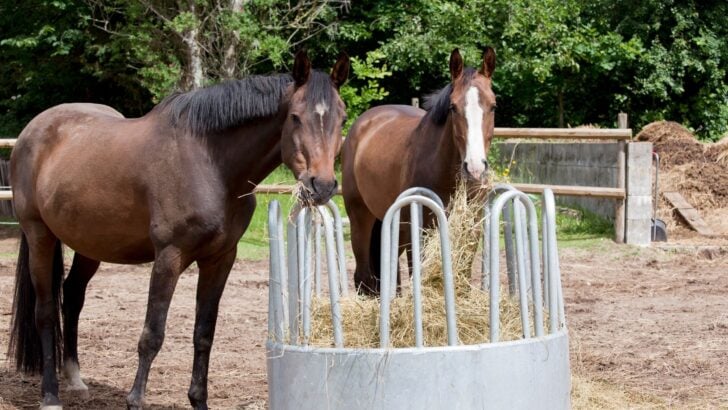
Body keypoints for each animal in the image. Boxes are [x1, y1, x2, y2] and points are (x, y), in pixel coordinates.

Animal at [8, 49, 349, 409]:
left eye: (342, 118)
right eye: (295, 117)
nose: (322, 185)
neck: (210, 164)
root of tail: (32, 131)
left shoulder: (220, 260)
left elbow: (204, 333)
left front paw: (199, 401)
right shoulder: (169, 257)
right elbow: (152, 334)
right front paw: (135, 401)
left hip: (90, 243)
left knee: (72, 296)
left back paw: (74, 379)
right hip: (39, 235)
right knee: (45, 312)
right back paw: (50, 394)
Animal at [342, 47, 496, 295]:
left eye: (493, 106)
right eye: (453, 107)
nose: (474, 168)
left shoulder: (469, 230)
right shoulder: (418, 229)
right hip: (361, 219)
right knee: (363, 276)